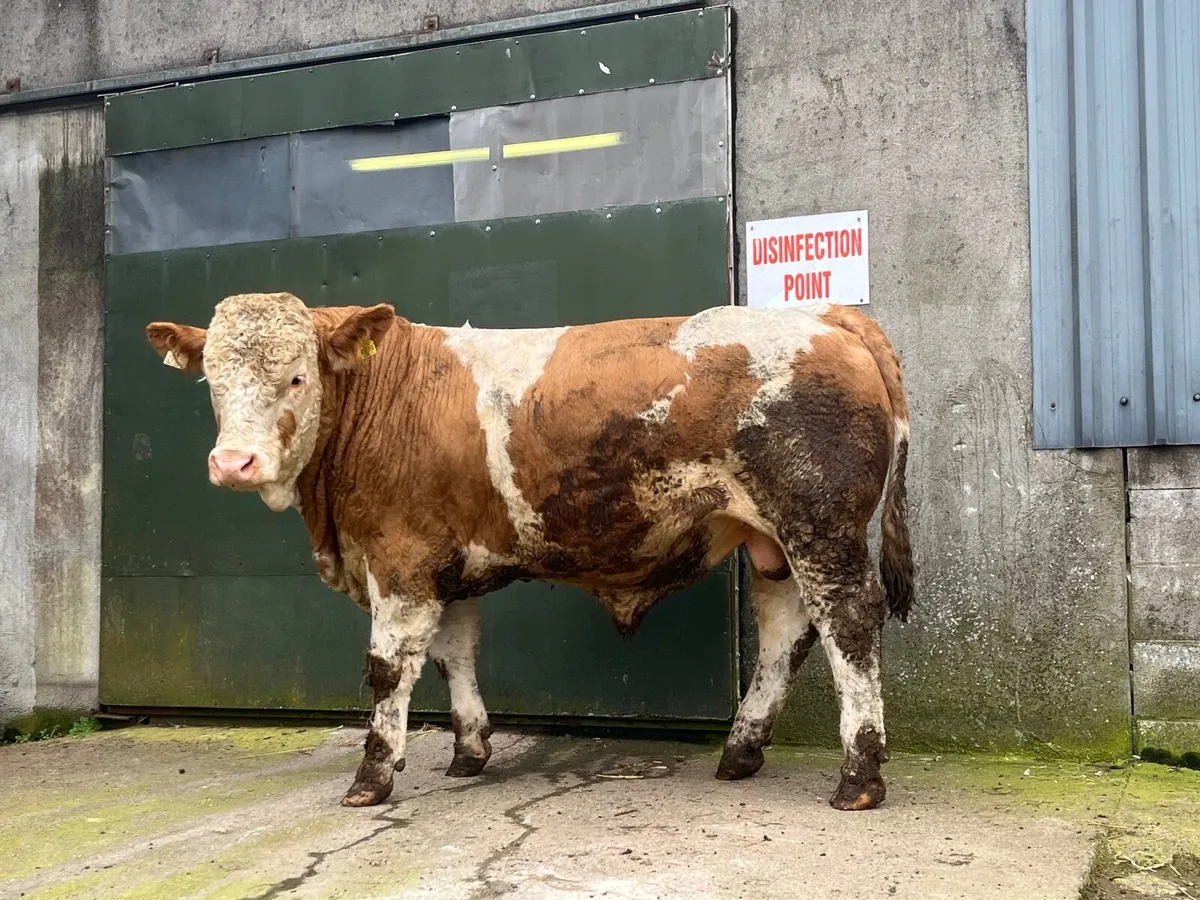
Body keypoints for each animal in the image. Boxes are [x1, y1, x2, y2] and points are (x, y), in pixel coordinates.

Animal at [145, 292, 913, 811]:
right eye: (212, 382)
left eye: (297, 377)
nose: (233, 462)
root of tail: (830, 316)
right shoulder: (441, 561)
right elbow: (454, 654)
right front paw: (469, 752)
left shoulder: (400, 559)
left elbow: (388, 670)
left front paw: (372, 776)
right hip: (772, 540)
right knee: (786, 632)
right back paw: (742, 750)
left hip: (821, 526)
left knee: (848, 625)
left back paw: (859, 777)